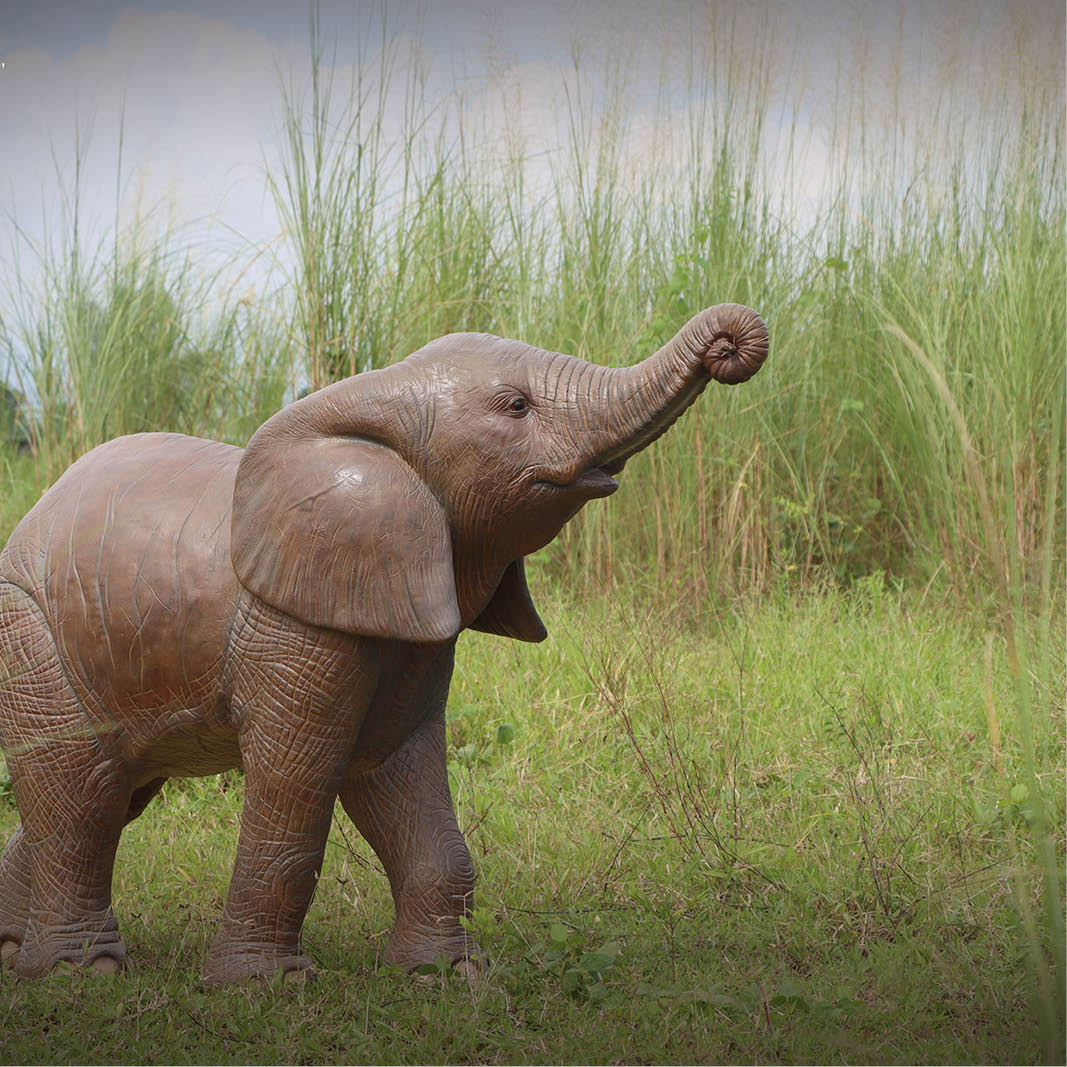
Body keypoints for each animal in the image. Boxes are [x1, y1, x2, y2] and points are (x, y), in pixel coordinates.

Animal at [0, 302, 768, 983]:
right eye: (516, 406)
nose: (729, 346)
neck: (379, 393)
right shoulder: (296, 625)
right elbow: (300, 780)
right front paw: (265, 987)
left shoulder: (407, 624)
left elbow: (393, 769)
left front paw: (445, 978)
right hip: (30, 632)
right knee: (84, 793)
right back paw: (80, 973)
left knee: (114, 790)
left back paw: (16, 957)